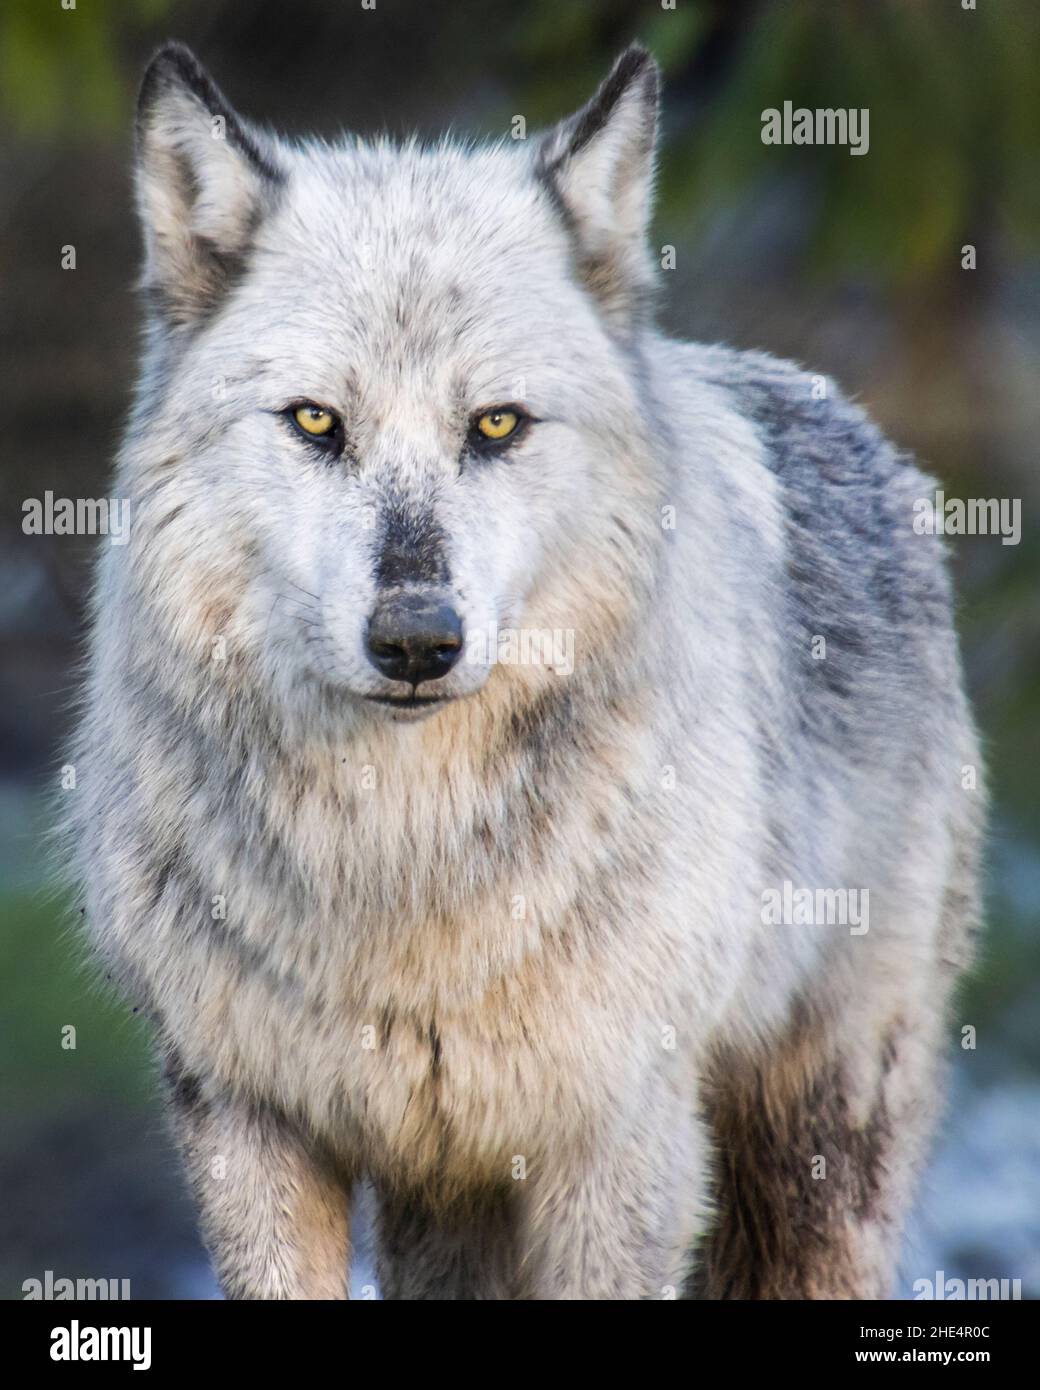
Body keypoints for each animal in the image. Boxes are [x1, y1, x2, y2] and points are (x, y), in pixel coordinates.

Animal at [67, 40, 983, 1299]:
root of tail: (853, 424)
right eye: (316, 422)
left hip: (814, 1157)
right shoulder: (245, 1122)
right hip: (445, 1211)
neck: (402, 861)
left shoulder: (617, 1141)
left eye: (496, 426)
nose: (415, 638)